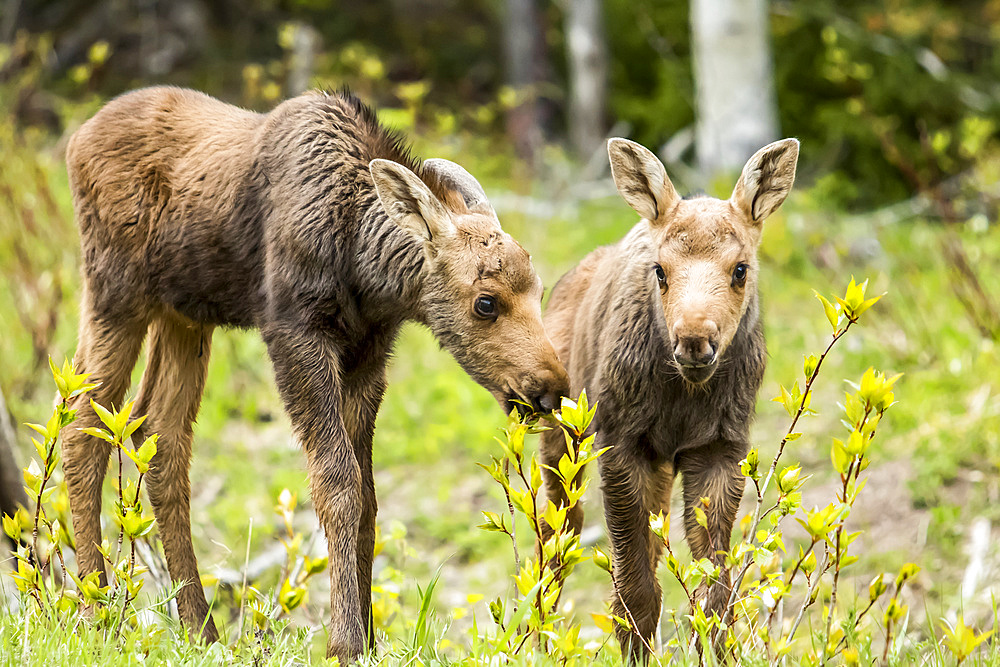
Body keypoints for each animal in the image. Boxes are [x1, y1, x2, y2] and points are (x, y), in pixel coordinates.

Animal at [60, 87, 572, 664]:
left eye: (540, 289)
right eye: (486, 302)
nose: (551, 388)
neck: (365, 268)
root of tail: (76, 141)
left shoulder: (369, 356)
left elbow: (369, 498)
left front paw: (368, 636)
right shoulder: (294, 333)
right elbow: (338, 488)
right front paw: (344, 641)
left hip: (184, 315)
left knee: (159, 434)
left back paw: (200, 629)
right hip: (114, 292)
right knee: (81, 427)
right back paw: (96, 614)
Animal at [540, 138, 796, 660]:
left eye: (740, 269)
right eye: (660, 270)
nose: (695, 339)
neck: (684, 396)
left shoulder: (720, 447)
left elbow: (714, 592)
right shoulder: (620, 442)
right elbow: (634, 590)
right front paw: (636, 655)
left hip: (658, 470)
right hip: (561, 443)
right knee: (555, 542)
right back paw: (539, 639)